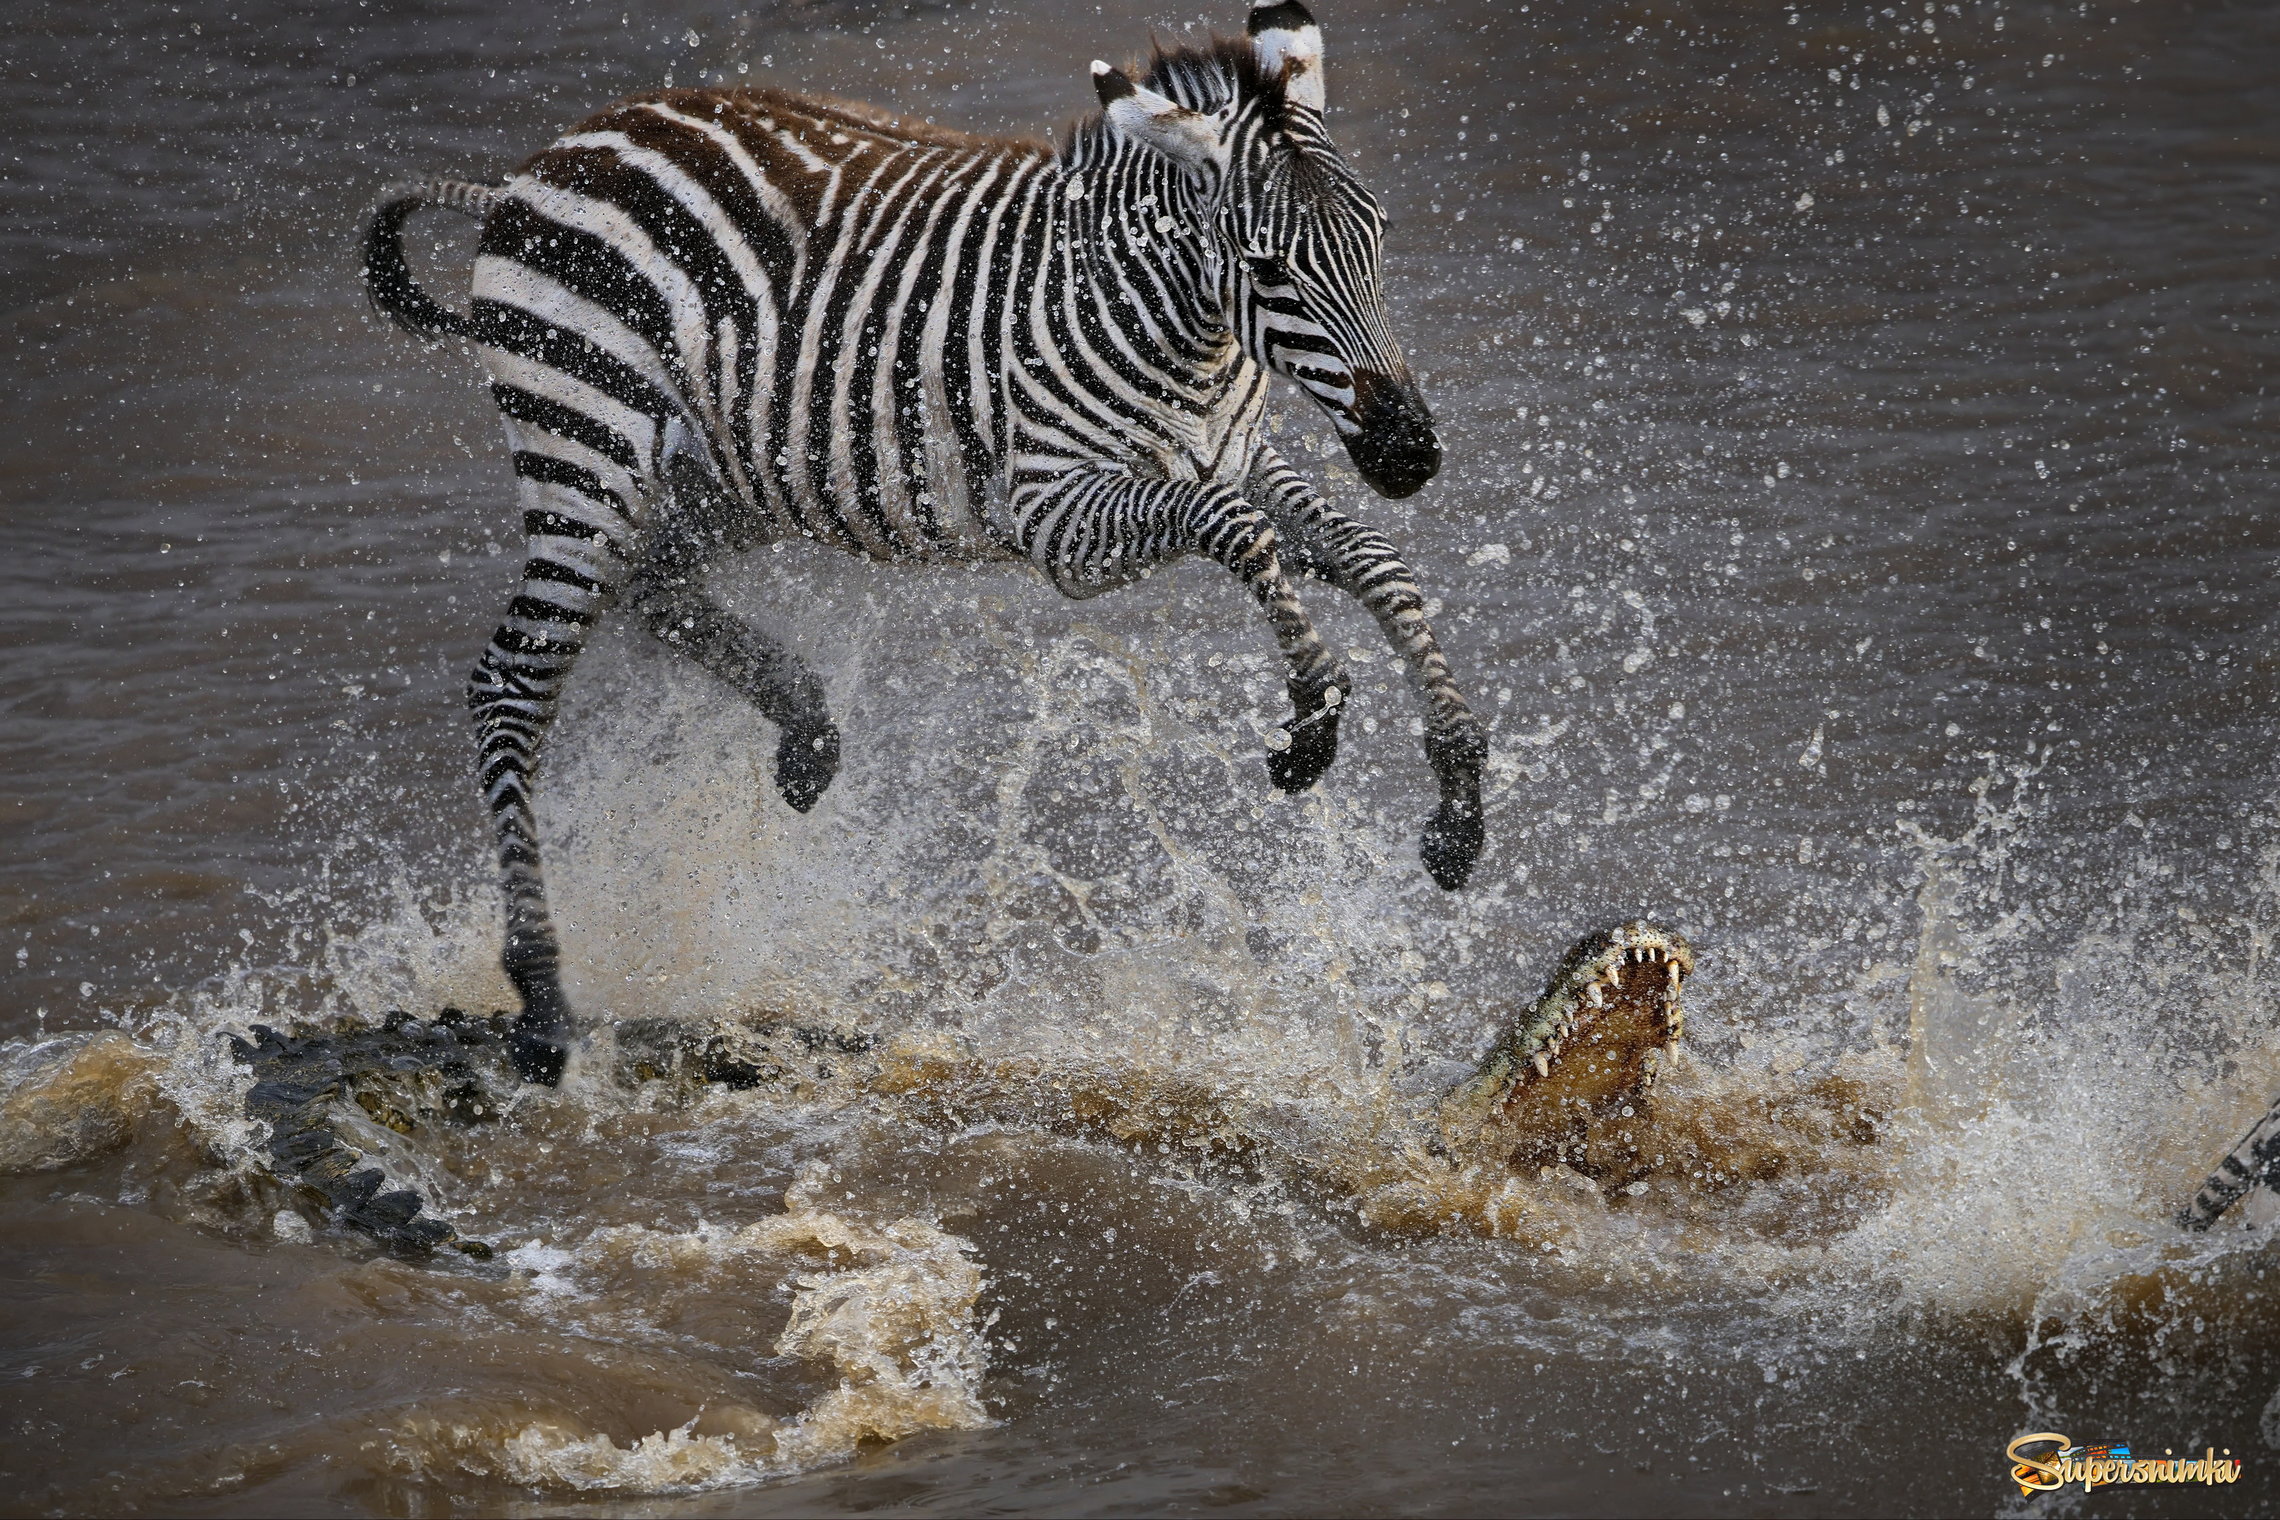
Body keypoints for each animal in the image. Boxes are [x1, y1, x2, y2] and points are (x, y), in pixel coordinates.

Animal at [362, 2, 1486, 1093]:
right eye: (1265, 265)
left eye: (1378, 236)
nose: (1410, 452)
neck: (1181, 334)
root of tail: (535, 167)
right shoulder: (1060, 519)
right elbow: (1240, 536)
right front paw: (1313, 710)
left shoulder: (1239, 458)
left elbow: (1377, 563)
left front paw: (1460, 794)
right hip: (587, 445)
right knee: (512, 683)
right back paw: (544, 1004)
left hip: (721, 474)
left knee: (651, 587)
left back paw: (805, 729)